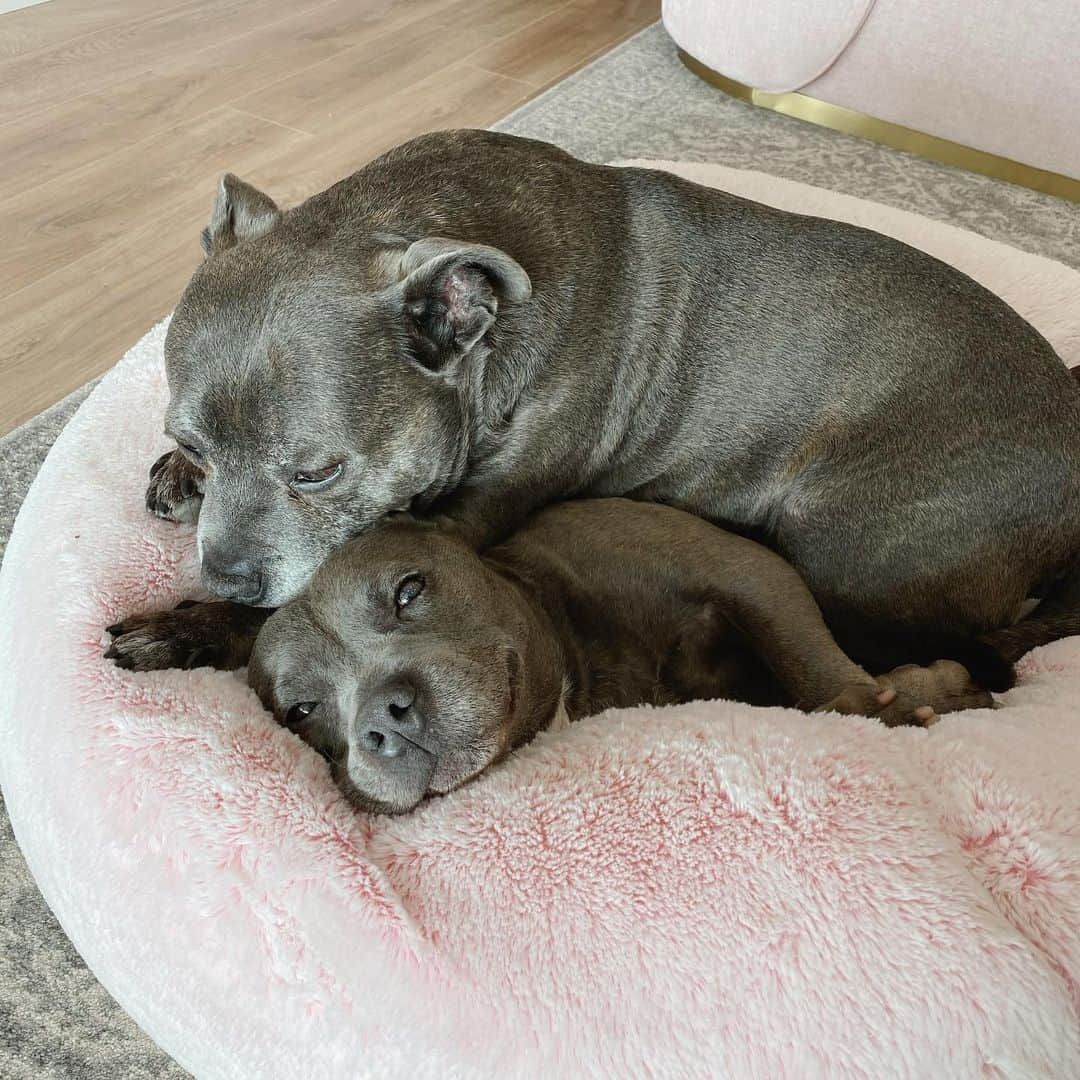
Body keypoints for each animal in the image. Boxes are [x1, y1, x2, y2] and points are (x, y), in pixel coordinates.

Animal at [105, 501, 989, 812]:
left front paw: (884, 708)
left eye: (408, 590)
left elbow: (812, 666)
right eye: (301, 711)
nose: (384, 720)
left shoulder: (747, 571)